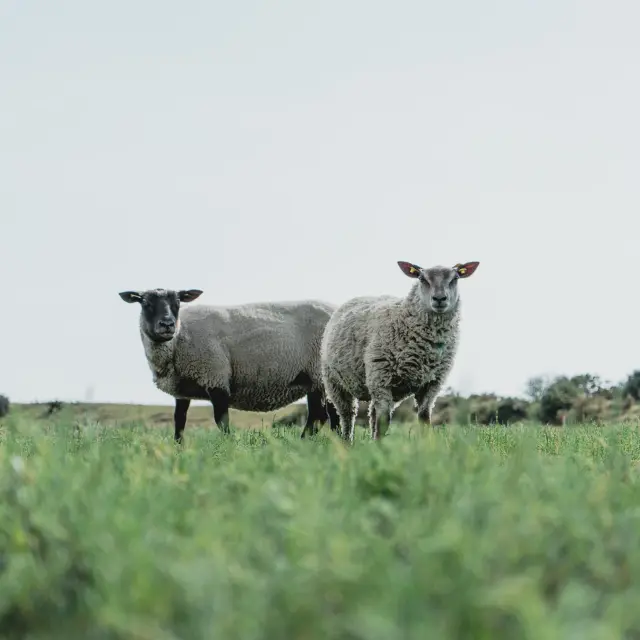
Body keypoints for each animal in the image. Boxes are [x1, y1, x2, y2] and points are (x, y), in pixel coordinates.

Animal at [119, 288, 340, 442]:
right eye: (145, 303)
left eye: (178, 302)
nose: (167, 325)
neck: (178, 339)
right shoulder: (182, 391)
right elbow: (179, 421)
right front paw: (178, 449)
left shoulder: (216, 377)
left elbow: (221, 421)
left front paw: (229, 446)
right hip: (316, 379)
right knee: (322, 415)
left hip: (321, 373)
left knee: (327, 414)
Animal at [320, 260, 480, 441]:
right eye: (422, 278)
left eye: (455, 279)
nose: (439, 299)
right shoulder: (381, 378)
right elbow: (384, 421)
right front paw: (379, 446)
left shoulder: (432, 383)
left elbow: (424, 417)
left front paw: (426, 443)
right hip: (336, 382)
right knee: (348, 416)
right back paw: (348, 442)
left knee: (372, 414)